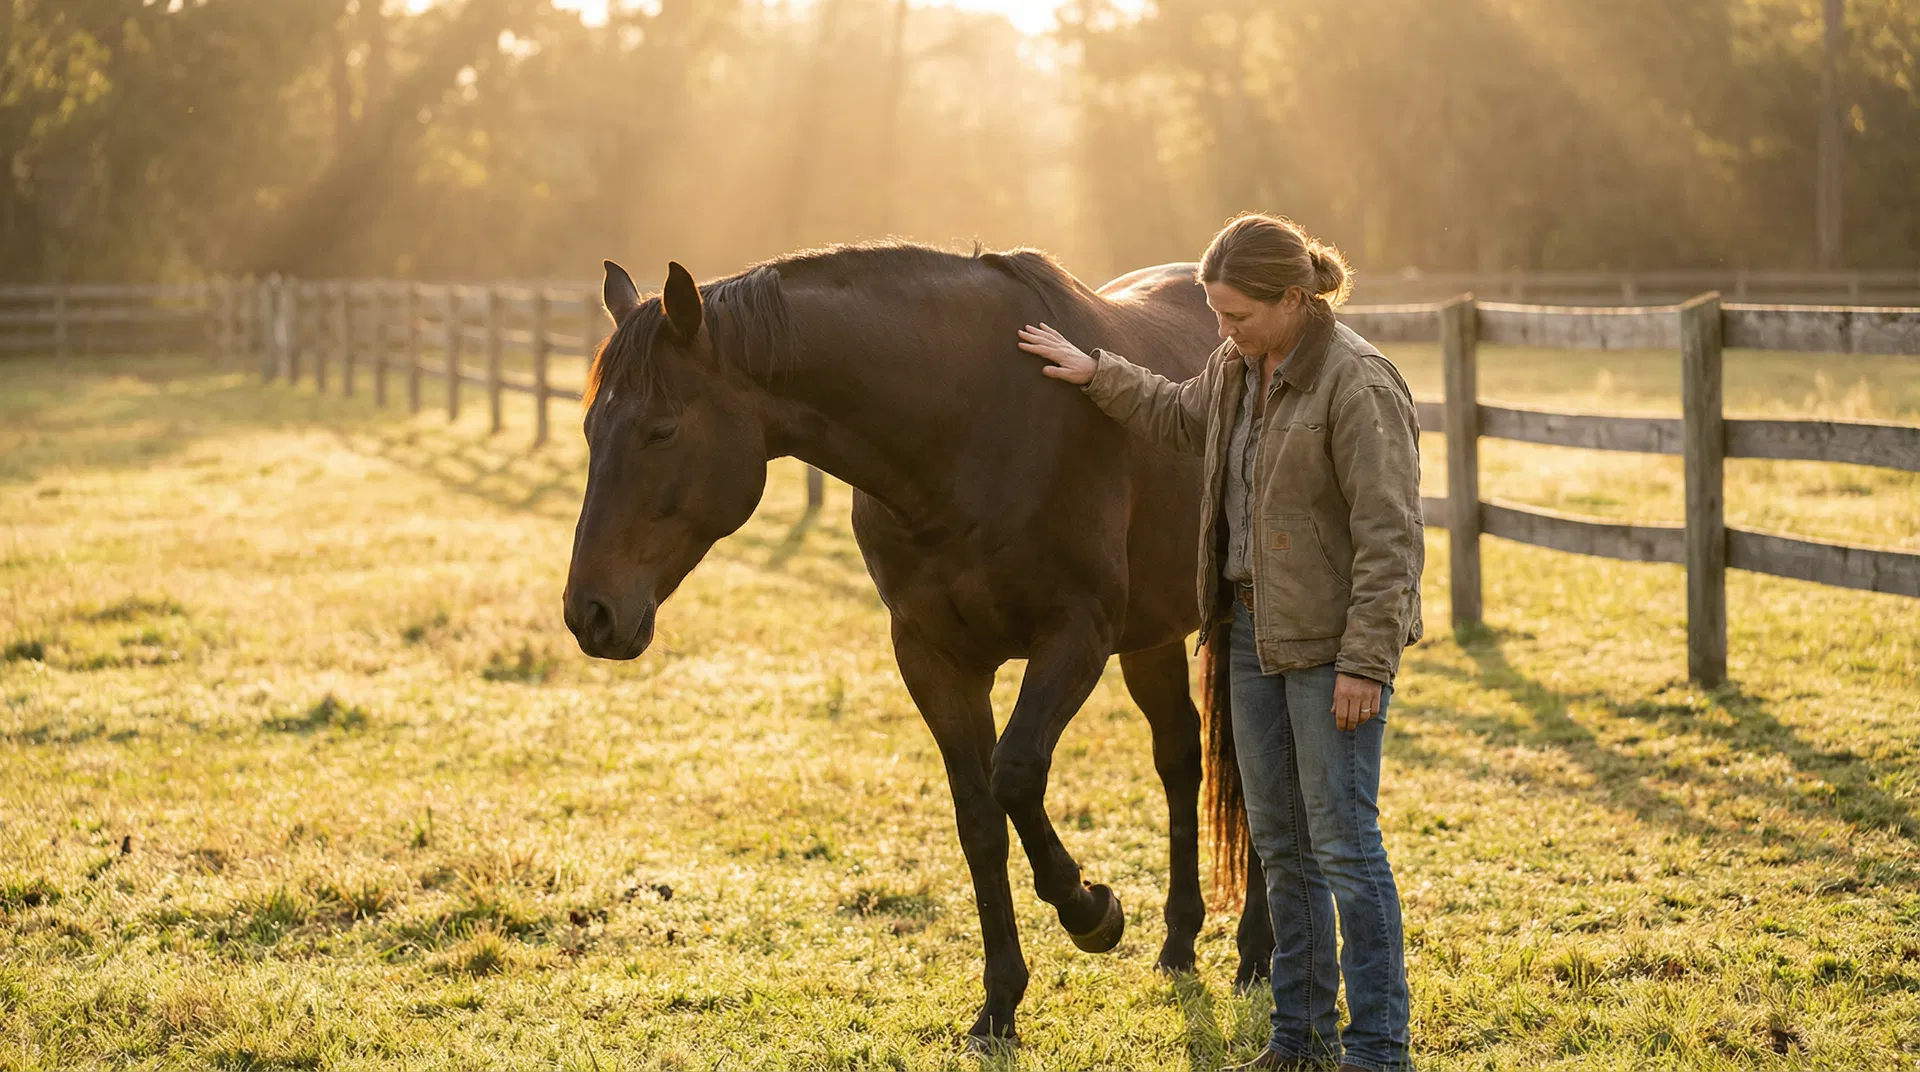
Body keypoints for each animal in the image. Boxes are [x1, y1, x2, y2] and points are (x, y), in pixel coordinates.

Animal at [561, 243, 1271, 1047]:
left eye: (661, 430)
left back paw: (1254, 955)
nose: (590, 612)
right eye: (590, 431)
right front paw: (999, 1007)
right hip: (1150, 639)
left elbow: (1015, 774)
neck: (966, 426)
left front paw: (1093, 912)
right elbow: (979, 819)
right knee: (1180, 757)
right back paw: (1179, 943)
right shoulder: (932, 657)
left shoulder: (1076, 633)